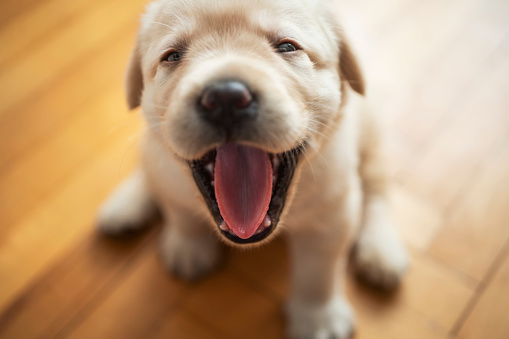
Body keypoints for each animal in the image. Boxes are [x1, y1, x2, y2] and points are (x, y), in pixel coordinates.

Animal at [98, 0, 408, 338]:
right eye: (172, 56)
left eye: (287, 46)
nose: (225, 97)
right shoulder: (168, 175)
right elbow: (180, 212)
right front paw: (190, 247)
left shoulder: (333, 213)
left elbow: (318, 273)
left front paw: (318, 318)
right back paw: (125, 204)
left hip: (372, 140)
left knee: (377, 191)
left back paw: (381, 250)